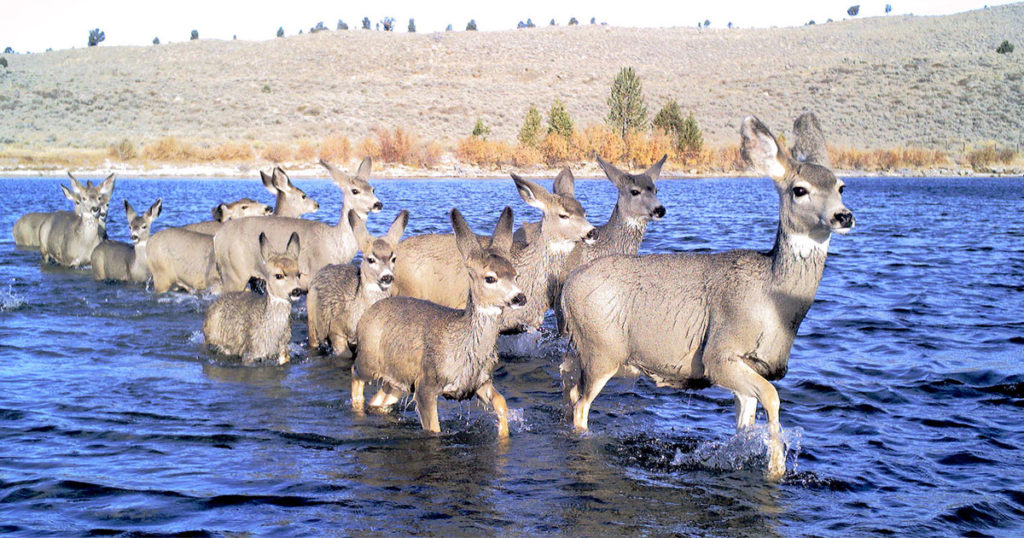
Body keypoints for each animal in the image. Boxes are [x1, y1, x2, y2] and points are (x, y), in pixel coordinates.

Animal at [213, 157, 381, 292]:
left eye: (372, 189)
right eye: (355, 191)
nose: (378, 204)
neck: (336, 244)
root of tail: (217, 237)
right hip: (234, 274)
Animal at [352, 207, 526, 438]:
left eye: (516, 275)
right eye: (490, 278)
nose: (520, 297)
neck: (460, 346)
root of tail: (368, 311)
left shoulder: (479, 382)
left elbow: (501, 402)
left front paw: (504, 434)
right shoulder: (425, 383)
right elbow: (434, 428)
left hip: (398, 379)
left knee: (379, 399)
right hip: (368, 360)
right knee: (355, 375)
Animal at [559, 114, 855, 481]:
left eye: (841, 186)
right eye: (799, 190)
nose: (843, 216)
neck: (774, 301)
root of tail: (568, 287)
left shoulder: (747, 364)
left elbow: (746, 421)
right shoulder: (719, 353)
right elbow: (772, 396)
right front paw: (776, 468)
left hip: (585, 348)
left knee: (569, 385)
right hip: (603, 350)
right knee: (581, 406)